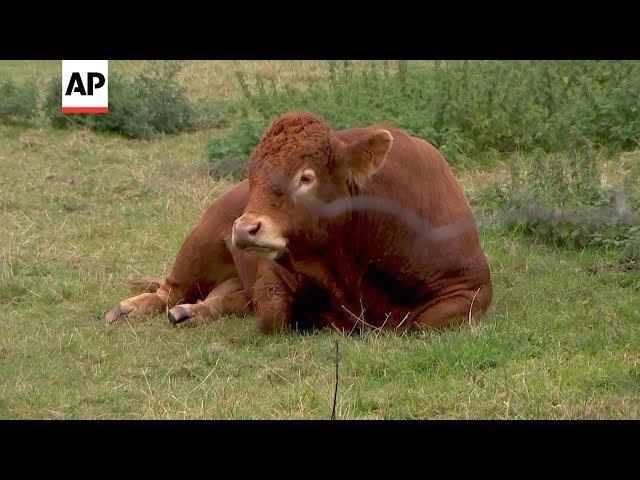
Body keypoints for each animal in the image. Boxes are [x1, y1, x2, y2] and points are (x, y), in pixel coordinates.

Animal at [107, 110, 492, 332]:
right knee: (169, 289)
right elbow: (272, 313)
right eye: (253, 177)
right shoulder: (275, 268)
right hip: (201, 238)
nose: (244, 229)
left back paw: (194, 311)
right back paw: (134, 308)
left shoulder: (471, 289)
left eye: (306, 176)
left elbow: (419, 324)